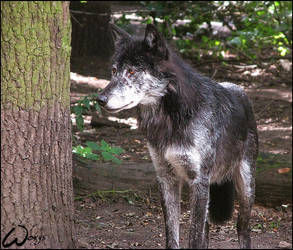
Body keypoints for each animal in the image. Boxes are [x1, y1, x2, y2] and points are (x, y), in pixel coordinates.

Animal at [97, 23, 256, 248]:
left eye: (131, 71)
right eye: (113, 71)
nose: (100, 99)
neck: (169, 119)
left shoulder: (199, 181)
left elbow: (194, 238)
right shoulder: (166, 178)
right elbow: (172, 235)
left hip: (245, 187)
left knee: (242, 228)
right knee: (207, 230)